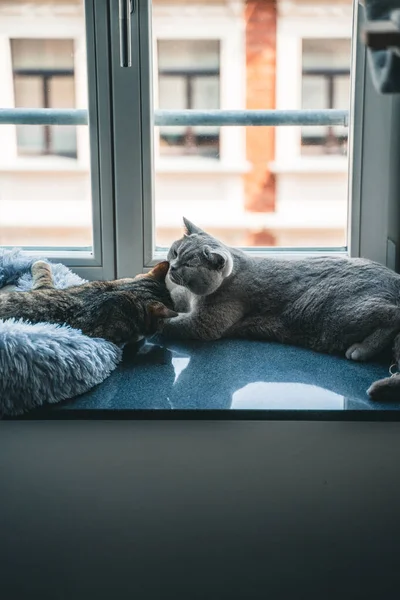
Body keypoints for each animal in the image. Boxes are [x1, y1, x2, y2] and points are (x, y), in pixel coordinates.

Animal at [162, 218, 400, 400]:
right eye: (175, 252)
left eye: (188, 265)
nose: (172, 267)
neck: (196, 296)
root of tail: (394, 278)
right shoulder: (186, 298)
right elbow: (175, 297)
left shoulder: (204, 323)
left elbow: (174, 324)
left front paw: (157, 320)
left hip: (341, 314)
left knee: (392, 316)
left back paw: (361, 350)